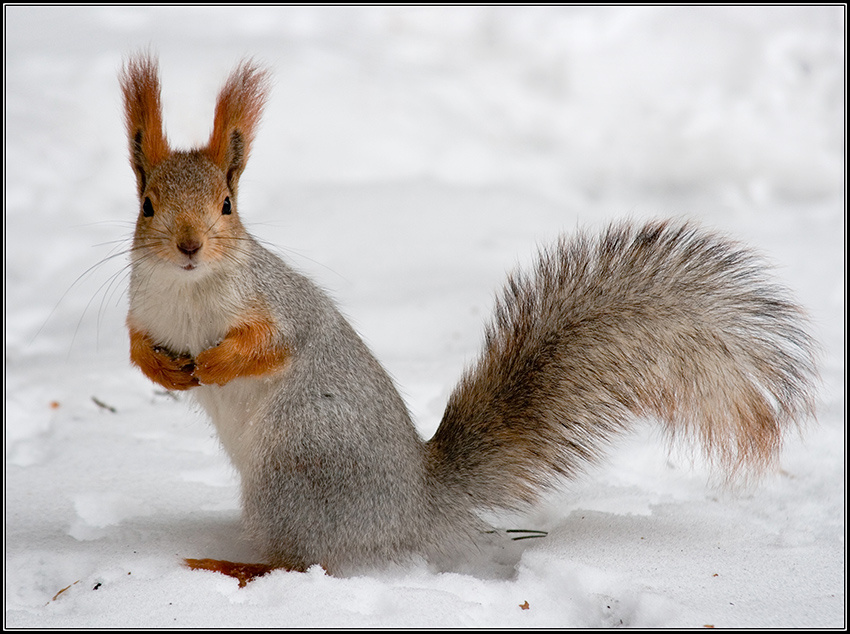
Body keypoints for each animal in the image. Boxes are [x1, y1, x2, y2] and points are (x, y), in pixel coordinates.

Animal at [120, 55, 817, 577]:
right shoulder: (142, 310)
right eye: (148, 204)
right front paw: (168, 373)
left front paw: (215, 363)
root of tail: (416, 505)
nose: (189, 246)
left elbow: (273, 345)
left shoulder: (279, 307)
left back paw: (233, 565)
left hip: (297, 471)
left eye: (228, 204)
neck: (189, 292)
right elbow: (136, 349)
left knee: (305, 562)